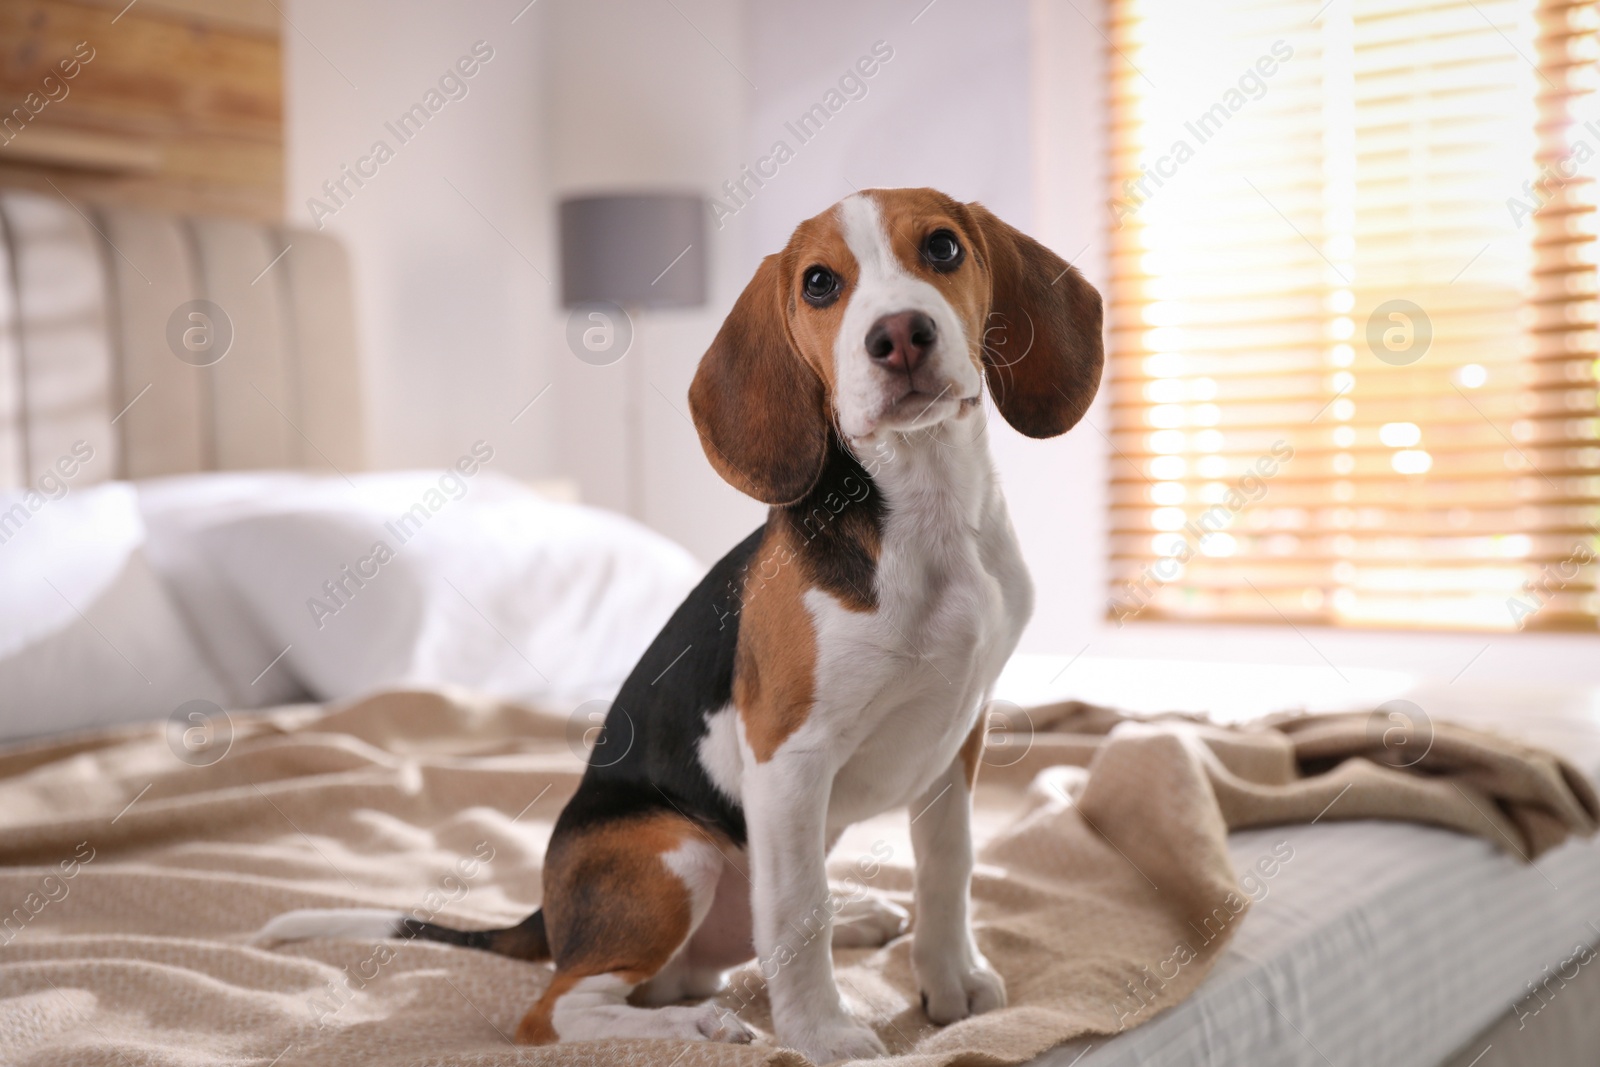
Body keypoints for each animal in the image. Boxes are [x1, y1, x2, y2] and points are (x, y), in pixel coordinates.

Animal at [262, 187, 1107, 1062]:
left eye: (943, 247)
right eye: (818, 283)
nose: (900, 334)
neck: (926, 510)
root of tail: (551, 918)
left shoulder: (957, 734)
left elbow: (949, 867)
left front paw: (949, 982)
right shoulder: (789, 756)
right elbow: (799, 913)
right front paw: (823, 1032)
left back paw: (852, 917)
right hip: (676, 853)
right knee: (559, 1010)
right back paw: (701, 1021)